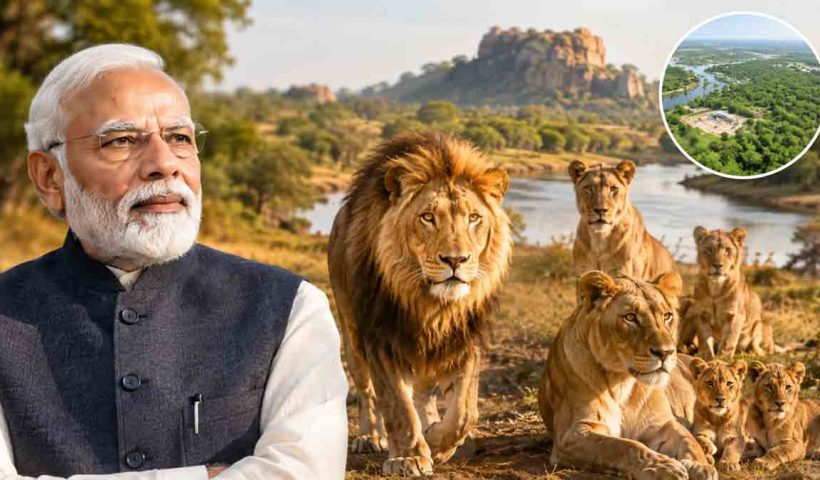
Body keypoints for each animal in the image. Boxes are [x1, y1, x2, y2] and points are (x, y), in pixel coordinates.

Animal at [328, 131, 512, 476]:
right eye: (428, 217)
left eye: (474, 218)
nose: (455, 260)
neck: (433, 306)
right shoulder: (381, 338)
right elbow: (397, 404)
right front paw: (409, 457)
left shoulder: (464, 339)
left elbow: (464, 412)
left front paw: (438, 443)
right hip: (351, 334)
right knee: (366, 392)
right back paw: (370, 437)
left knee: (426, 393)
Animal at [537, 270, 717, 480]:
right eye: (630, 317)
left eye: (667, 316)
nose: (665, 352)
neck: (622, 382)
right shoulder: (573, 433)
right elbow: (624, 446)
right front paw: (663, 466)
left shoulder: (662, 424)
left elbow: (688, 440)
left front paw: (701, 466)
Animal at [685, 226, 774, 358]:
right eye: (709, 250)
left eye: (728, 250)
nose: (717, 265)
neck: (716, 286)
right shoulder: (701, 313)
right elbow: (704, 337)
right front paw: (705, 355)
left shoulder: (735, 315)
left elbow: (729, 340)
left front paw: (723, 358)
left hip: (761, 324)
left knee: (761, 349)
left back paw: (748, 354)